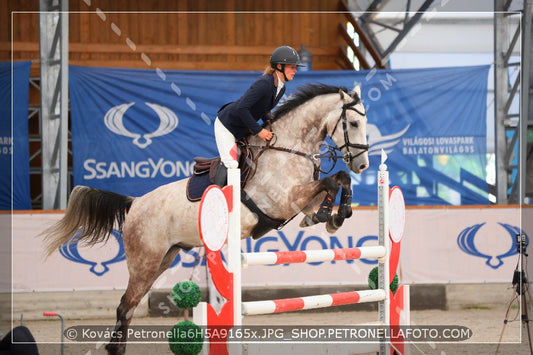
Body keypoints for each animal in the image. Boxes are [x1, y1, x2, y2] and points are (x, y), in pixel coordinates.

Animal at [41, 82, 368, 354]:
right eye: (353, 123)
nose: (363, 165)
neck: (290, 149)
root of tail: (135, 203)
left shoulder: (300, 201)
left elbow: (337, 182)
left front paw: (335, 216)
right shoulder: (284, 201)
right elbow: (333, 180)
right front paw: (332, 215)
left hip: (163, 259)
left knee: (130, 306)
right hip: (145, 260)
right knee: (125, 306)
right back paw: (114, 349)